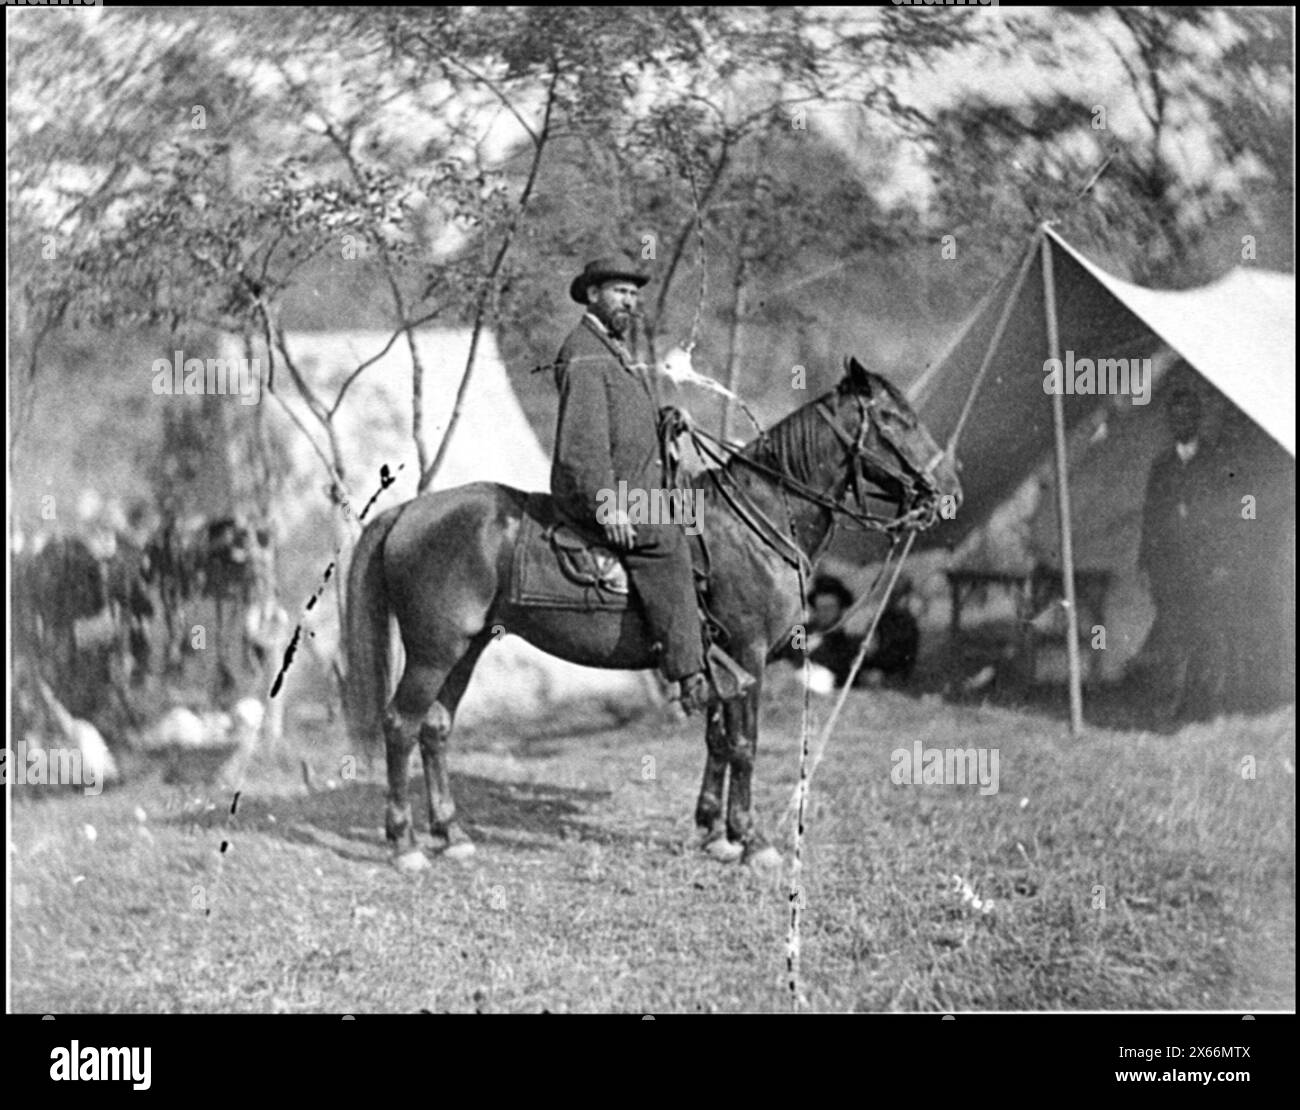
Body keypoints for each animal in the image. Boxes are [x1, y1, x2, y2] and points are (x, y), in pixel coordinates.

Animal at [345, 356, 967, 868]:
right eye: (893, 419)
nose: (949, 490)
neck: (755, 520)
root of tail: (408, 512)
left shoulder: (721, 664)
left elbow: (718, 740)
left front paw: (714, 832)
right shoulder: (747, 655)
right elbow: (745, 745)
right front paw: (752, 841)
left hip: (467, 648)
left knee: (435, 729)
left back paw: (451, 834)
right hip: (434, 649)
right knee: (400, 725)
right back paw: (404, 844)